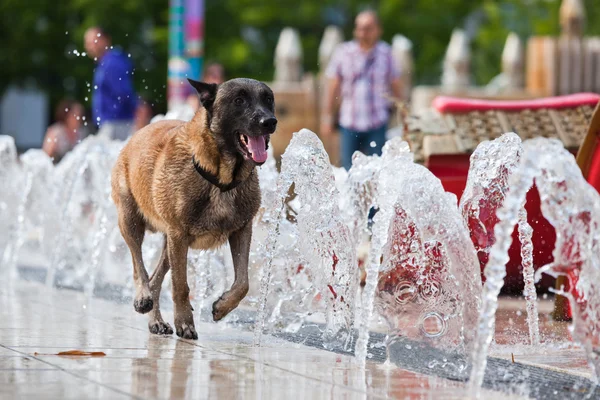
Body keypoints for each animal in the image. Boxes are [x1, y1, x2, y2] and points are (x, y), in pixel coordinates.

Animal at [112, 77, 276, 338]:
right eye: (239, 100)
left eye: (268, 99)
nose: (269, 122)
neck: (221, 179)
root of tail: (137, 134)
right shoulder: (179, 235)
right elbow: (180, 285)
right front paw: (185, 322)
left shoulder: (242, 230)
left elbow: (243, 282)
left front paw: (222, 306)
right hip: (131, 221)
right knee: (140, 268)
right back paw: (143, 298)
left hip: (169, 244)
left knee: (156, 278)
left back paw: (155, 320)